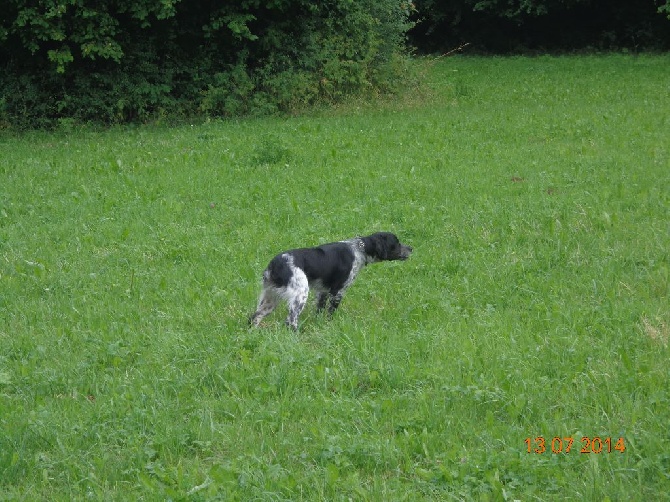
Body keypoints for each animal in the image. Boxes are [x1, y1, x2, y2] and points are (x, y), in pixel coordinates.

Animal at [249, 231, 412, 330]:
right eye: (397, 243)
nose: (411, 248)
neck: (359, 249)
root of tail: (275, 263)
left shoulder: (323, 292)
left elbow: (319, 311)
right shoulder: (337, 291)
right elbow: (330, 313)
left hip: (270, 299)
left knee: (254, 317)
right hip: (299, 295)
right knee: (291, 321)